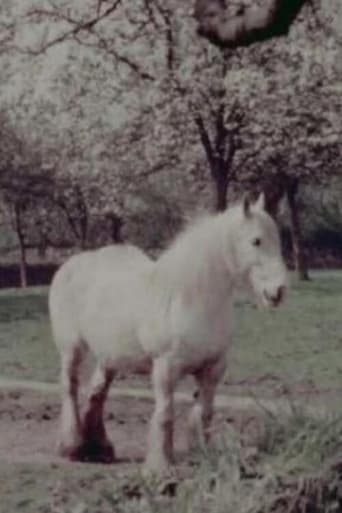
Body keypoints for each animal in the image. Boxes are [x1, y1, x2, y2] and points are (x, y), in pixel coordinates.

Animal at [48, 195, 288, 472]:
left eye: (277, 238)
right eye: (256, 240)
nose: (278, 291)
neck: (191, 300)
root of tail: (71, 265)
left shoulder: (213, 368)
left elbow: (205, 413)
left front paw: (202, 454)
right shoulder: (165, 368)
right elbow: (165, 414)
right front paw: (160, 465)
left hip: (109, 358)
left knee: (97, 393)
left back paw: (99, 449)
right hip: (71, 349)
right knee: (70, 386)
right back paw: (72, 447)